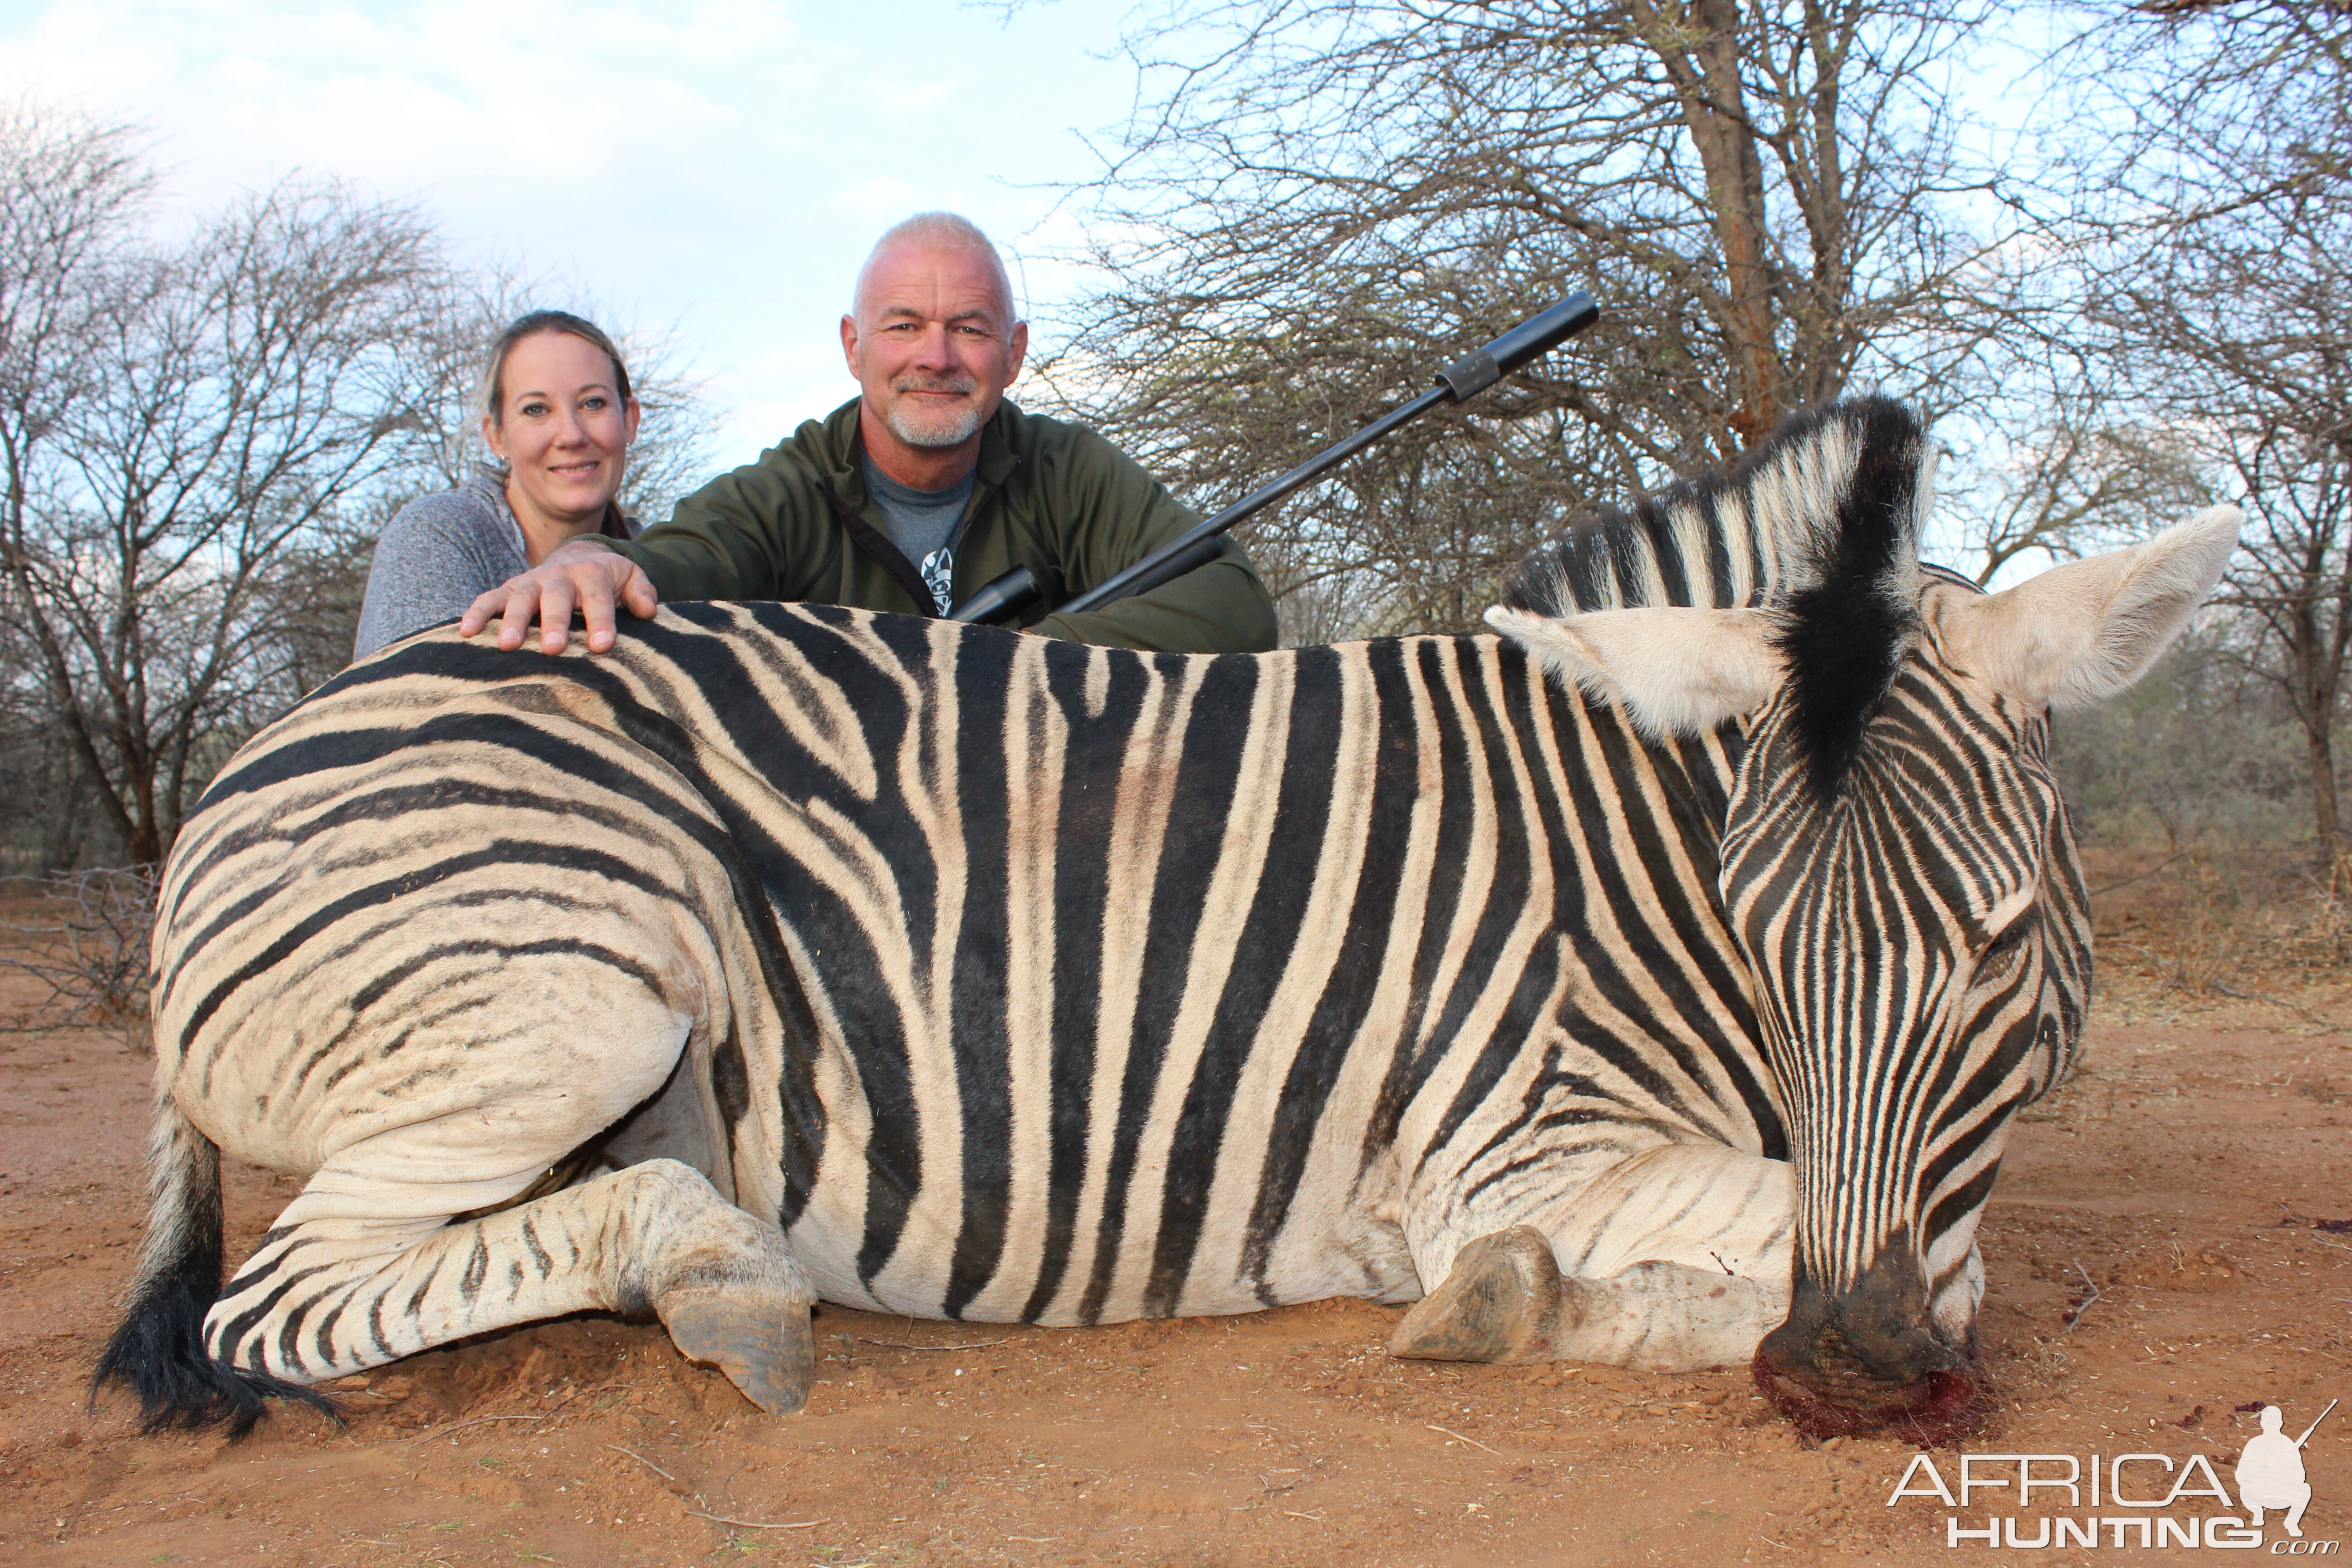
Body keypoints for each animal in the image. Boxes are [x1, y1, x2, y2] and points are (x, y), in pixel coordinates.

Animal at [101, 399, 2230, 1439]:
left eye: (1997, 936)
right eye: (1765, 936)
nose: (1852, 1379)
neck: (1624, 837)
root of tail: (235, 786)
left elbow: (1899, 1229)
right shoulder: (1517, 1143)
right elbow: (1913, 1241)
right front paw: (1535, 1302)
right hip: (583, 992)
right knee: (278, 1298)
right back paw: (717, 1270)